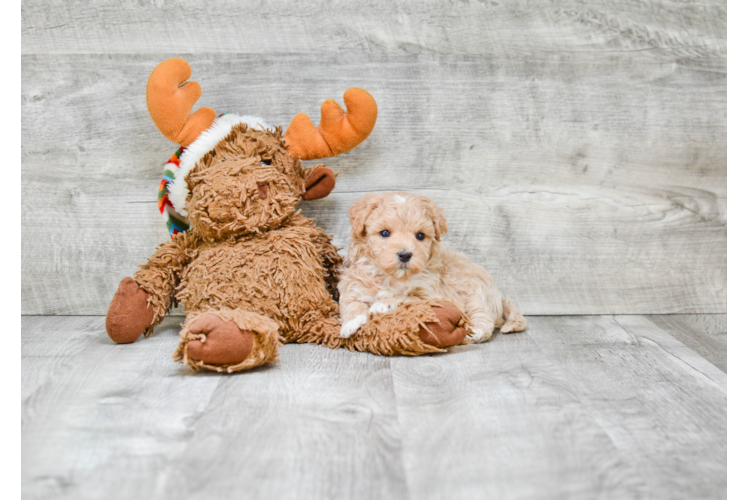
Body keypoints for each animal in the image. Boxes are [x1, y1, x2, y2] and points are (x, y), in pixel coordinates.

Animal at [338, 190, 524, 340]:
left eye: (420, 236)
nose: (405, 255)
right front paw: (350, 323)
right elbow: (351, 303)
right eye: (384, 233)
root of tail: (499, 296)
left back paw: (474, 333)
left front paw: (382, 304)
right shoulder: (353, 284)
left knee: (484, 318)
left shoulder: (432, 295)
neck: (393, 277)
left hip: (476, 294)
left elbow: (406, 298)